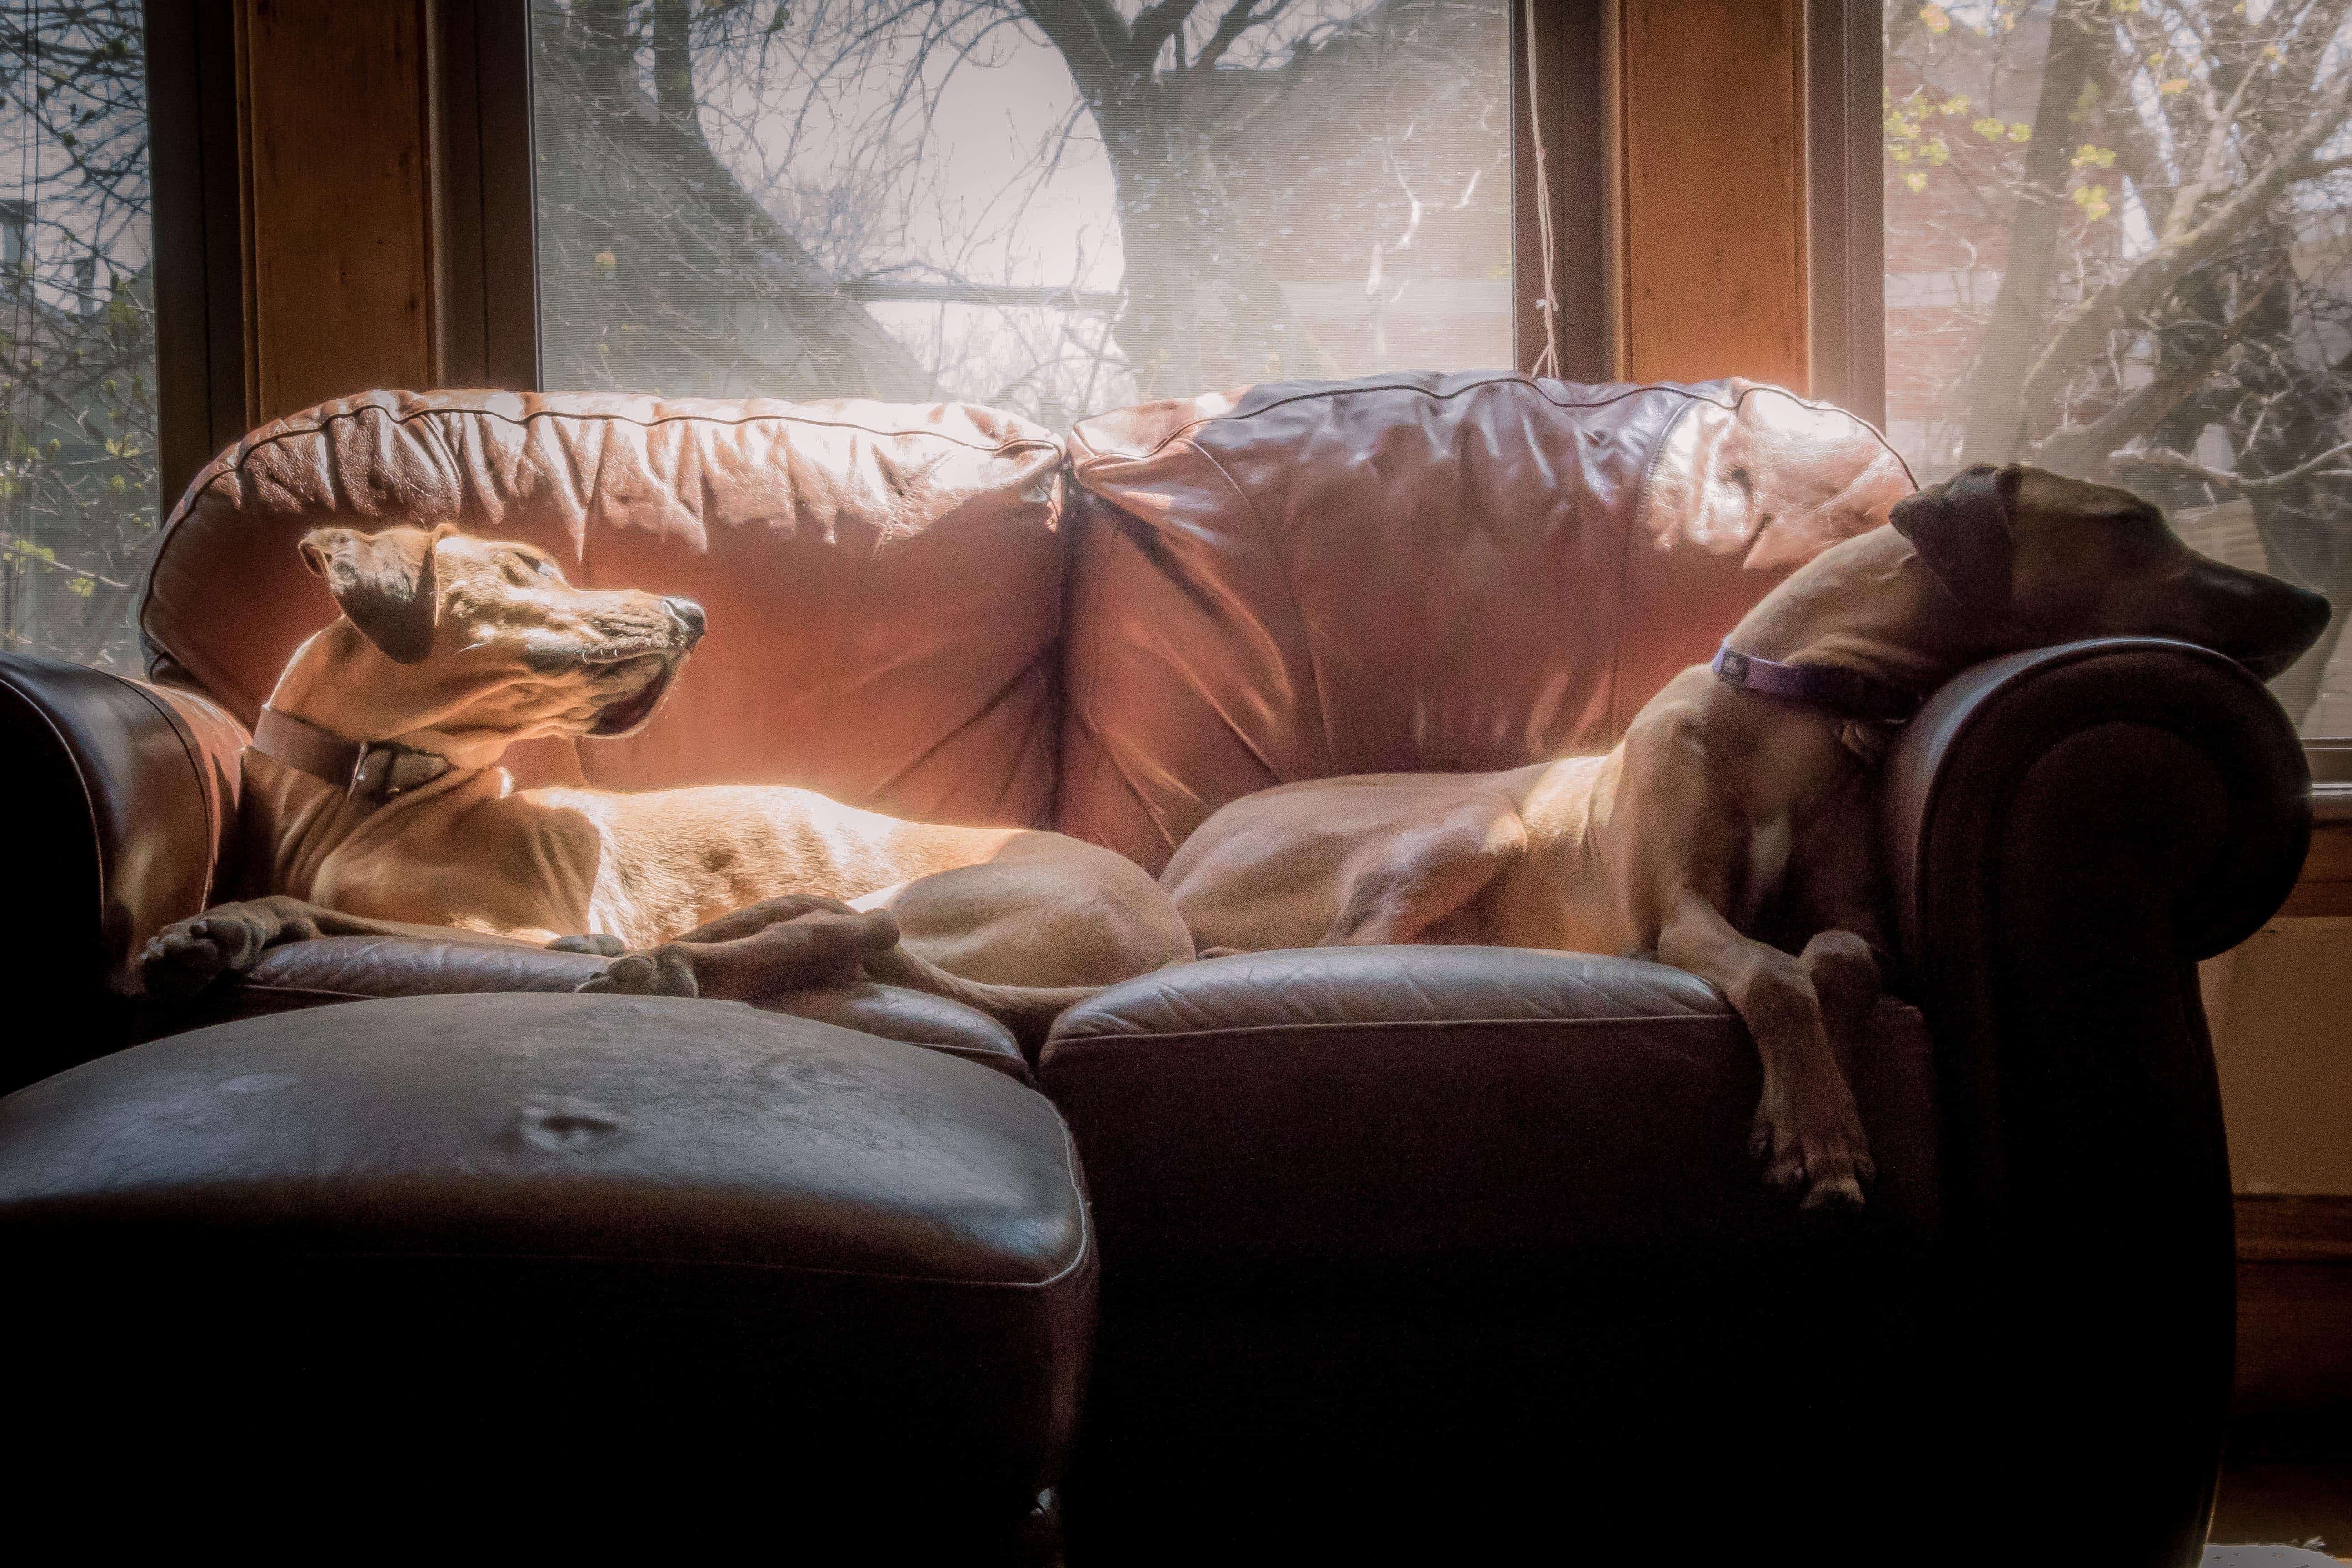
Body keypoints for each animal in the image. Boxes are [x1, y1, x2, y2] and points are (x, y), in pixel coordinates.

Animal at [142, 522, 1194, 1048]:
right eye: (526, 566)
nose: (693, 613)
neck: (378, 783)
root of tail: (1173, 939)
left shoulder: (521, 925)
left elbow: (353, 912)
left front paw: (240, 918)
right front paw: (221, 922)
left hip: (920, 896)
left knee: (854, 933)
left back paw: (670, 968)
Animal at [1166, 460, 2342, 1213]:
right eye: (2133, 528)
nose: (2314, 601)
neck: (1796, 705)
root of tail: (1175, 863)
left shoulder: (1855, 913)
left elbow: (1830, 958)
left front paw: (1820, 1110)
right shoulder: (1679, 910)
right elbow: (1771, 975)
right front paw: (1817, 1135)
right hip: (1467, 832)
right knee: (1340, 948)